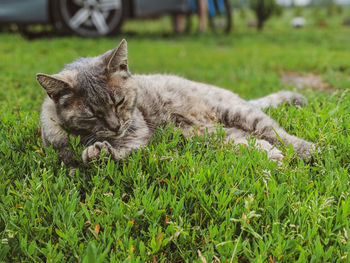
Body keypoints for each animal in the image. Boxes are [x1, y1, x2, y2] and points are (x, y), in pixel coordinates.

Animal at [37, 39, 316, 167]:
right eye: (91, 115)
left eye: (119, 101)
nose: (115, 126)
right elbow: (69, 158)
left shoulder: (137, 132)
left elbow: (123, 149)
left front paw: (101, 152)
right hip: (211, 134)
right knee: (254, 142)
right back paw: (273, 158)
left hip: (235, 112)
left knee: (274, 132)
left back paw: (306, 150)